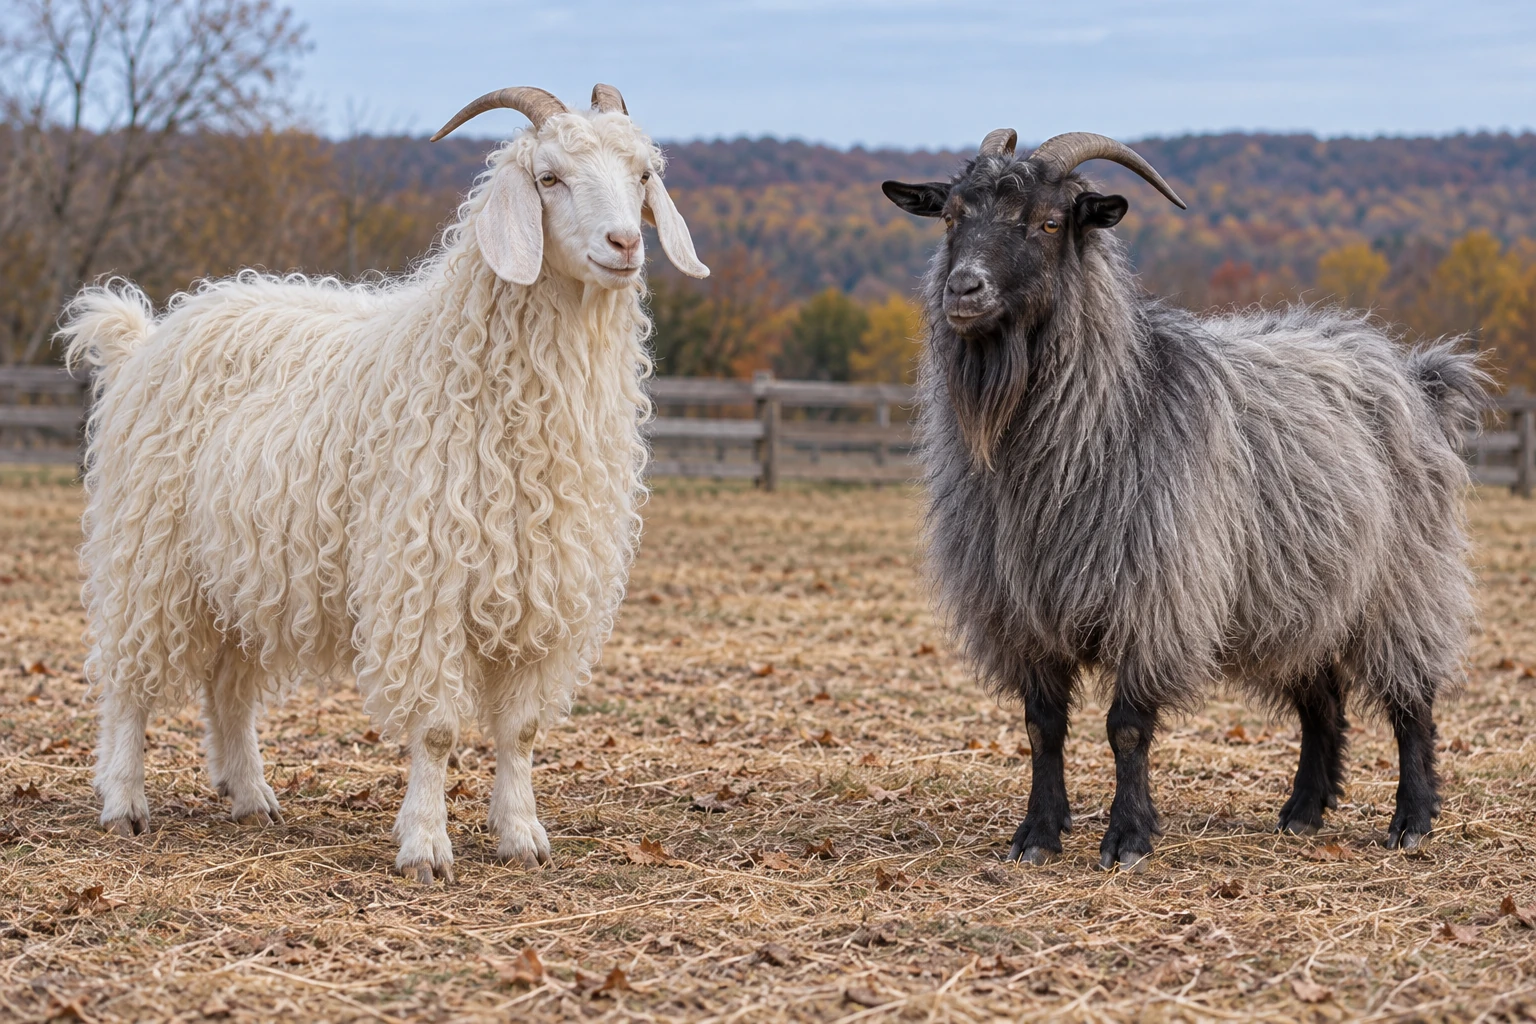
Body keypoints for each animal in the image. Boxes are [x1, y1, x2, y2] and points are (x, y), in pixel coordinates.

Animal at [60, 83, 708, 883]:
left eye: (644, 174)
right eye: (549, 177)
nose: (623, 245)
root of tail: (148, 337)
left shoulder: (544, 588)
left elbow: (521, 730)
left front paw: (522, 834)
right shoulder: (424, 578)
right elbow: (435, 730)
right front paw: (426, 847)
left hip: (237, 572)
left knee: (230, 689)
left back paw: (250, 795)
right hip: (148, 551)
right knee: (129, 679)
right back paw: (124, 804)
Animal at [883, 129, 1486, 870]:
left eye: (1049, 222)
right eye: (950, 215)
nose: (963, 288)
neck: (1114, 406)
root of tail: (1414, 374)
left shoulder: (1154, 598)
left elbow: (1126, 728)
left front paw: (1127, 839)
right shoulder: (1021, 611)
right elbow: (1042, 728)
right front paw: (1038, 835)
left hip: (1402, 582)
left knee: (1412, 701)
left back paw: (1412, 820)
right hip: (1302, 592)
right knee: (1323, 702)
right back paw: (1302, 811)